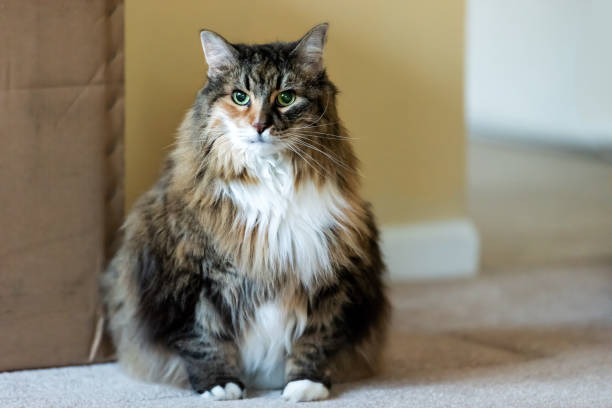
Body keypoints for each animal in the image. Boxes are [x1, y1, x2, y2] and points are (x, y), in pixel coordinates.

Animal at [99, 23, 388, 402]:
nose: (260, 125)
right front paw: (221, 385)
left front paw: (306, 385)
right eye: (240, 97)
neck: (272, 183)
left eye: (285, 98)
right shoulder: (191, 274)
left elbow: (316, 337)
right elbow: (203, 337)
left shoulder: (329, 268)